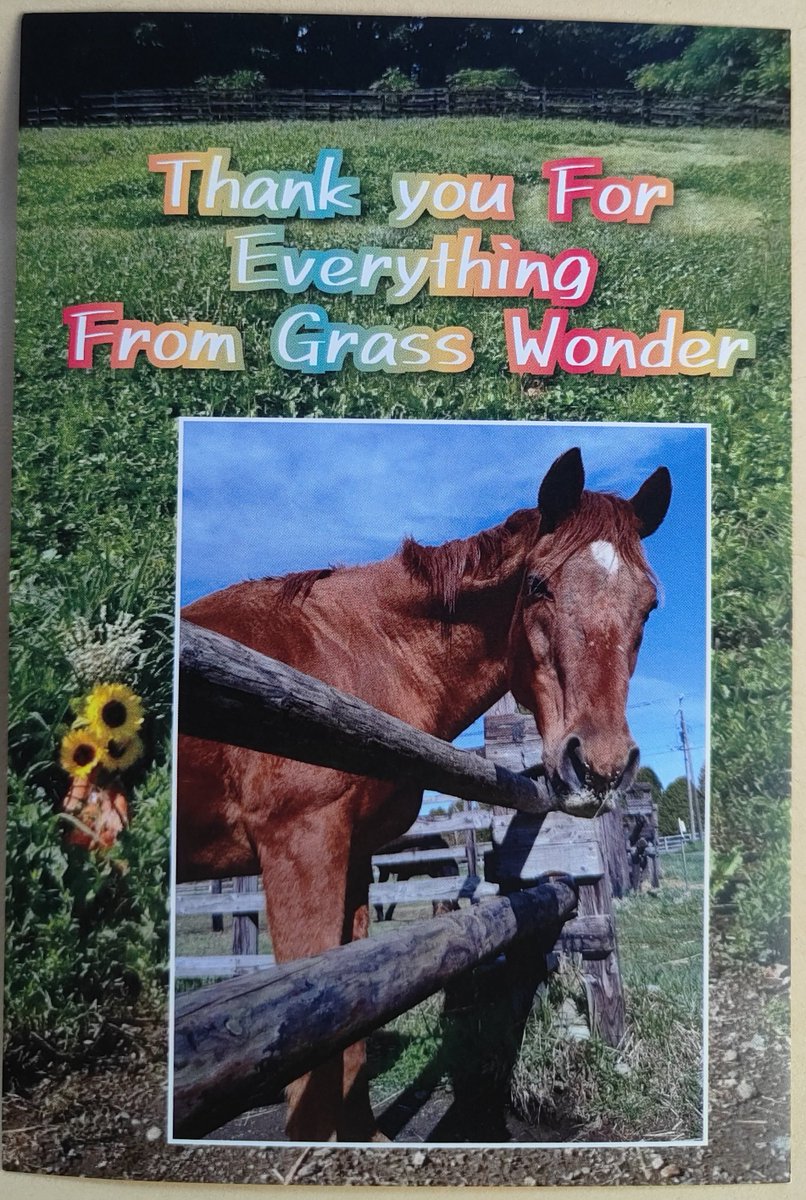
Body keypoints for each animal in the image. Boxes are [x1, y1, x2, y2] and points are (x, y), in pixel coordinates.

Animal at [176, 446, 671, 1142]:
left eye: (648, 605)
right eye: (537, 585)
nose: (598, 767)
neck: (349, 655)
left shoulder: (353, 859)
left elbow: (350, 1020)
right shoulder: (299, 847)